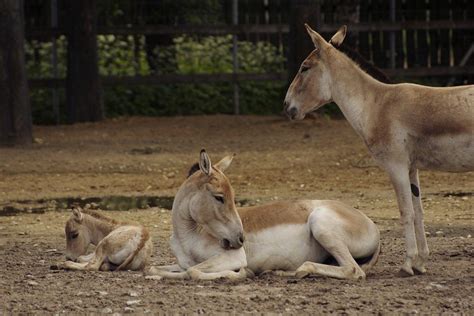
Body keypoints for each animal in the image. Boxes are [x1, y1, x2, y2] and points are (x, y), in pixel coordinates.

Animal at [148, 151, 382, 282]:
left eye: (231, 196)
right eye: (219, 197)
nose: (240, 239)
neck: (187, 235)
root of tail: (373, 226)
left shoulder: (233, 257)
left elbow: (193, 272)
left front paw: (239, 274)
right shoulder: (183, 262)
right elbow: (159, 267)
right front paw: (155, 274)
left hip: (321, 224)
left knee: (352, 270)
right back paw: (277, 273)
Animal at [284, 25, 472, 276]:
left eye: (304, 67)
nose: (286, 106)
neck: (377, 106)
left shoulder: (396, 166)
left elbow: (406, 212)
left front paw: (407, 264)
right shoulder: (411, 169)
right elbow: (419, 213)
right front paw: (421, 263)